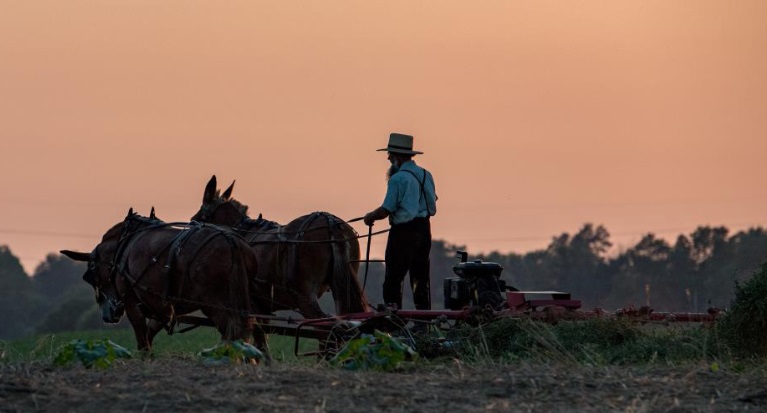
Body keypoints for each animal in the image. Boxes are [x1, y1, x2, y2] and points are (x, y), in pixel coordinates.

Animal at [60, 208, 264, 352]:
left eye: (90, 277)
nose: (107, 315)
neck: (121, 247)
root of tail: (231, 241)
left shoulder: (132, 302)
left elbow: (142, 338)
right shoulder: (162, 306)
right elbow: (150, 334)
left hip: (215, 303)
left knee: (233, 330)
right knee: (250, 327)